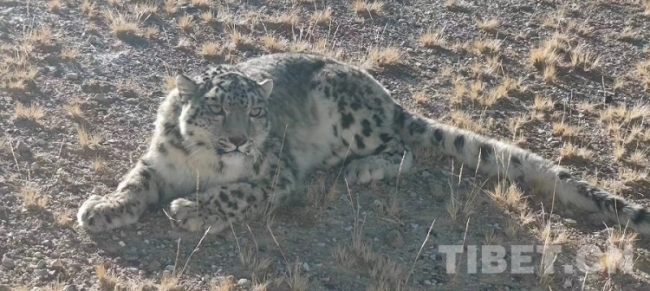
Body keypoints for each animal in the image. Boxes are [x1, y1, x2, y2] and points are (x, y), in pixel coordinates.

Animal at [76, 52, 648, 235]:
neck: (202, 165)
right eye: (217, 108)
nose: (238, 141)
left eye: (255, 112)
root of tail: (381, 91)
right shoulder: (157, 162)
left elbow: (239, 193)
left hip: (354, 117)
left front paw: (192, 210)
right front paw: (102, 208)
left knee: (404, 148)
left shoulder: (275, 175)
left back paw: (359, 169)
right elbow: (134, 182)